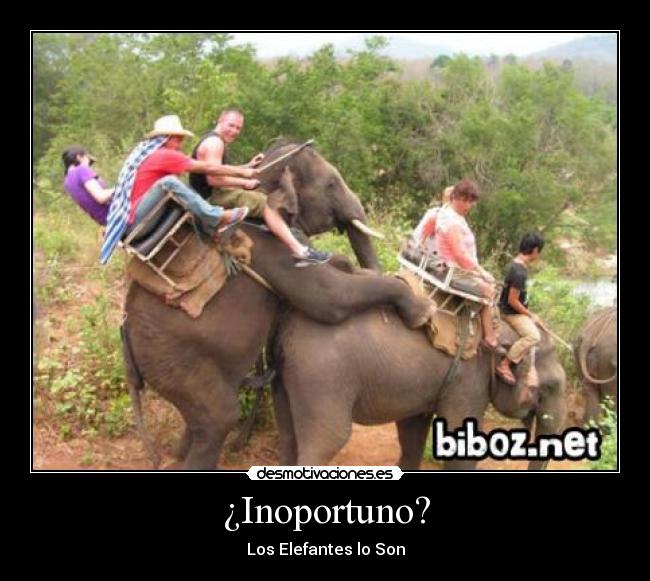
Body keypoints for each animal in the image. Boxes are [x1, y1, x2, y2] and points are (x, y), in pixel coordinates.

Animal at [123, 141, 436, 470]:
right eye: (331, 184)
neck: (263, 180)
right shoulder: (272, 248)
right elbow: (327, 298)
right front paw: (423, 312)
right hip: (174, 360)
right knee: (218, 419)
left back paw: (179, 455)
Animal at [271, 302, 567, 470]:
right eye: (551, 387)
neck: (500, 327)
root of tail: (287, 328)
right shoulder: (469, 381)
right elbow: (460, 437)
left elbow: (412, 432)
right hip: (323, 377)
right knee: (328, 440)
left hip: (290, 377)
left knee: (288, 435)